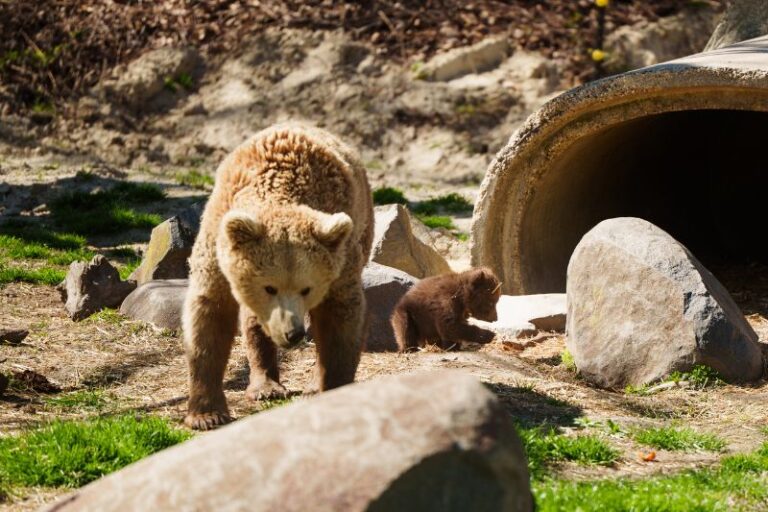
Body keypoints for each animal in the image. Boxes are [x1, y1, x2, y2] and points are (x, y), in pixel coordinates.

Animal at [182, 123, 373, 430]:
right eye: (269, 287)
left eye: (307, 288)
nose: (292, 333)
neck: (283, 189)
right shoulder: (216, 247)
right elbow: (209, 316)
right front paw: (206, 414)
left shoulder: (340, 263)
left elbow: (340, 318)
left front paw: (332, 389)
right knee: (253, 321)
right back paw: (266, 385)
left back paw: (310, 386)